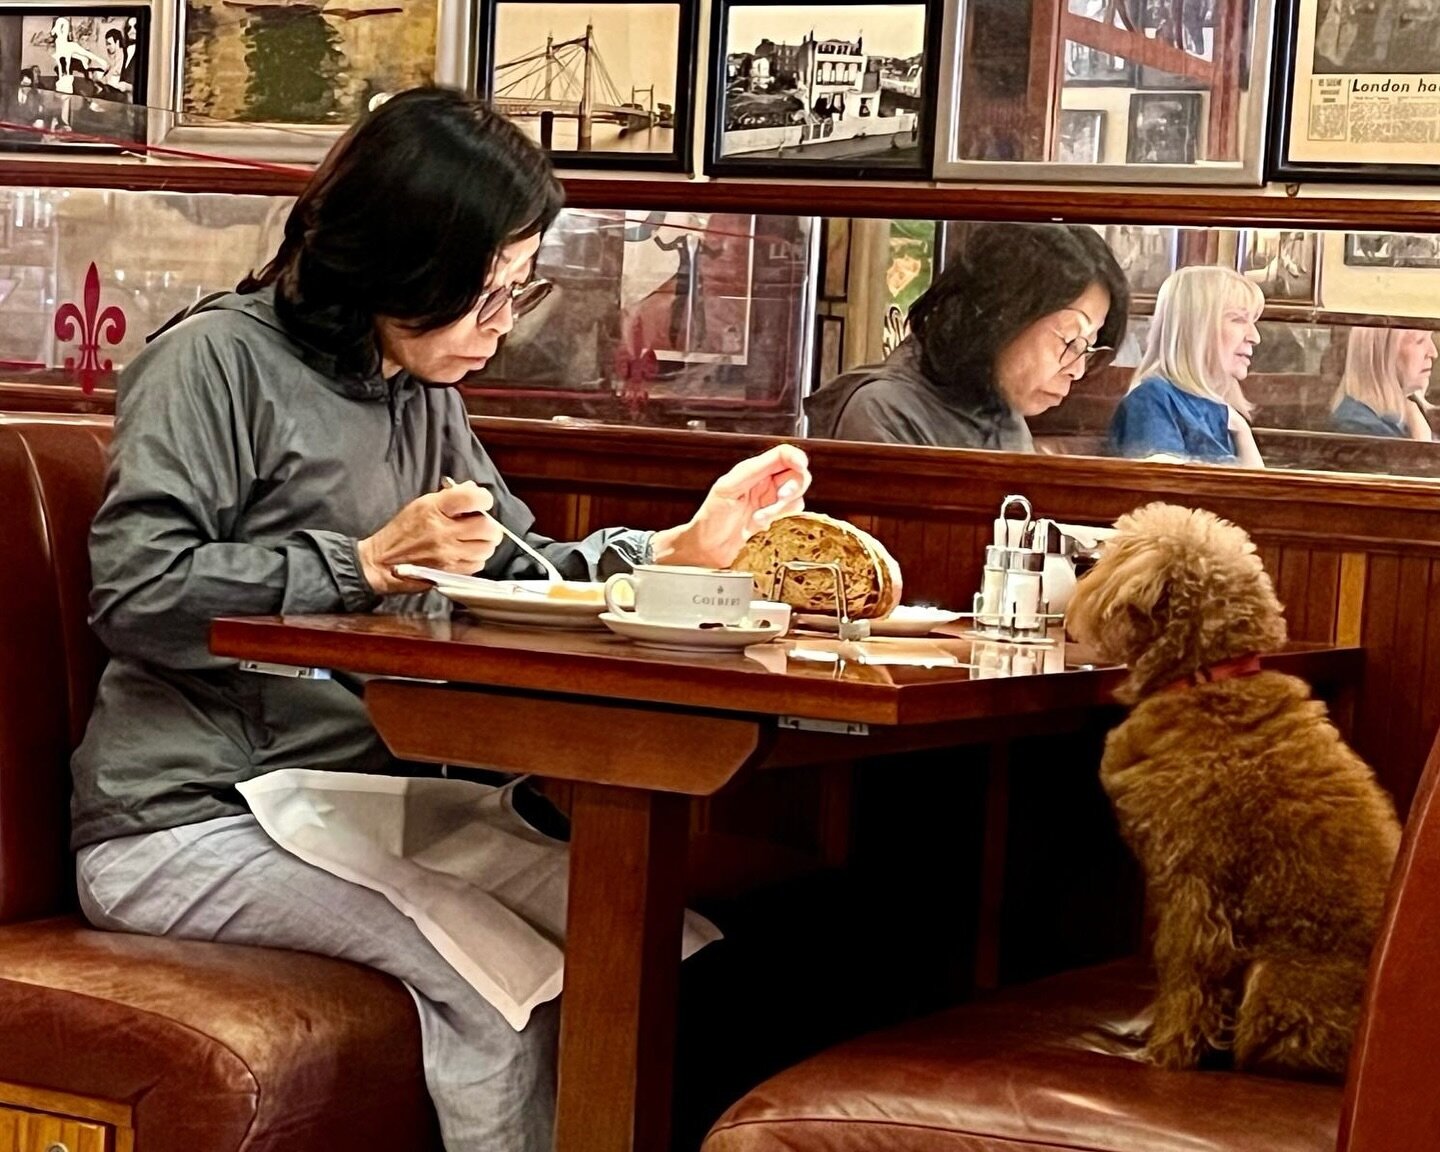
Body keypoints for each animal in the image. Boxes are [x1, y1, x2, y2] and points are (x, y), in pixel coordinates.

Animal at [1071, 504, 1393, 1082]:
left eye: (1114, 549)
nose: (1084, 573)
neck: (1208, 680)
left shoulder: (1194, 886)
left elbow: (1186, 974)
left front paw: (1166, 1053)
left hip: (1274, 984)